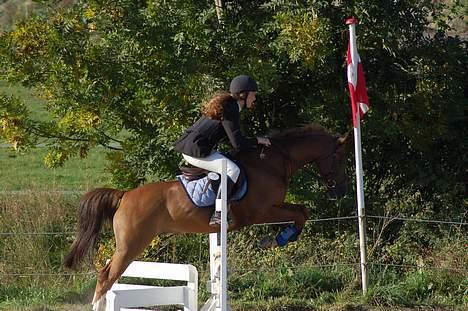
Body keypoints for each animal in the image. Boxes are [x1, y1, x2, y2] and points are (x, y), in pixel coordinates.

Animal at [64, 124, 350, 310]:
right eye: (340, 158)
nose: (341, 192)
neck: (272, 163)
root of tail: (124, 195)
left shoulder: (273, 207)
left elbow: (302, 211)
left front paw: (278, 238)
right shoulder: (263, 211)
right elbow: (300, 214)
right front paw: (276, 239)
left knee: (106, 274)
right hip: (131, 244)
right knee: (105, 277)